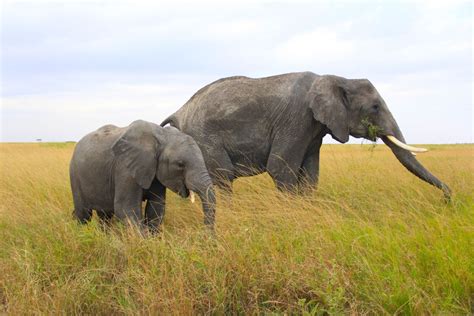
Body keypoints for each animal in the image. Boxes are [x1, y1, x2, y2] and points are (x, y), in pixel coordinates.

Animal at [69, 119, 217, 231]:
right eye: (180, 164)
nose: (206, 237)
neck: (162, 136)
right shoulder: (124, 167)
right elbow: (126, 209)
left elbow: (156, 208)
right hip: (74, 175)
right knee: (84, 215)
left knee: (105, 216)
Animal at [161, 73, 450, 199]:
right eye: (375, 107)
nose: (448, 199)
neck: (337, 77)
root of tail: (179, 112)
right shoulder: (297, 119)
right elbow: (281, 168)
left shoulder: (314, 129)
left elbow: (310, 173)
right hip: (205, 139)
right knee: (222, 178)